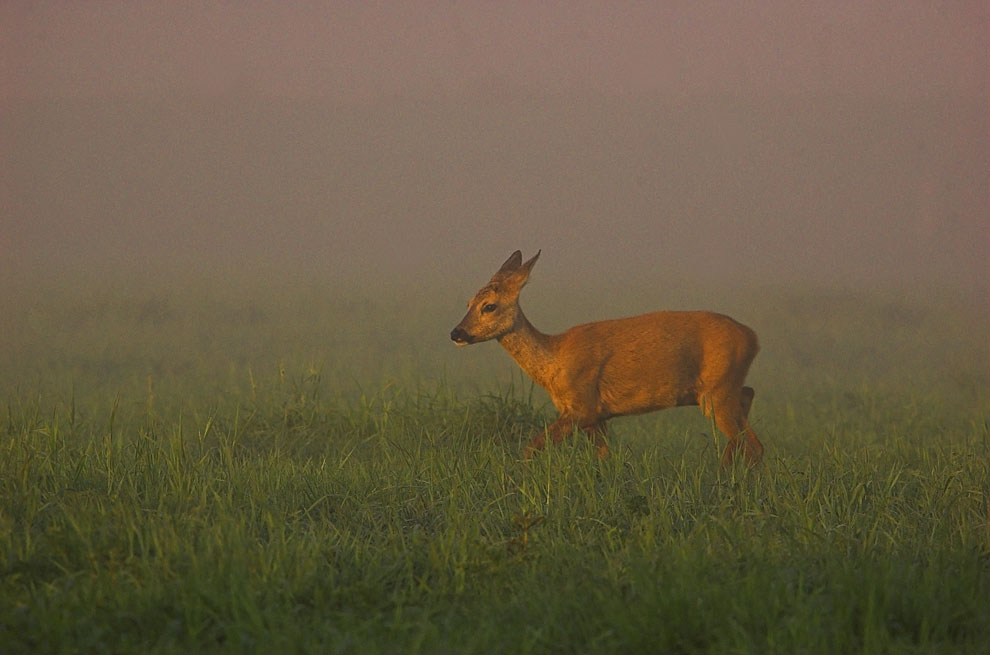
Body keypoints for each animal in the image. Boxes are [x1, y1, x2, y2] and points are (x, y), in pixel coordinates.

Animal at [450, 249, 768, 468]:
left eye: (489, 306)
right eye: (468, 303)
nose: (457, 332)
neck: (555, 362)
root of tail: (753, 337)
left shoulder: (582, 406)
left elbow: (533, 446)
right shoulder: (596, 416)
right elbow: (603, 458)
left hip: (716, 391)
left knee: (753, 444)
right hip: (721, 389)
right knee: (747, 406)